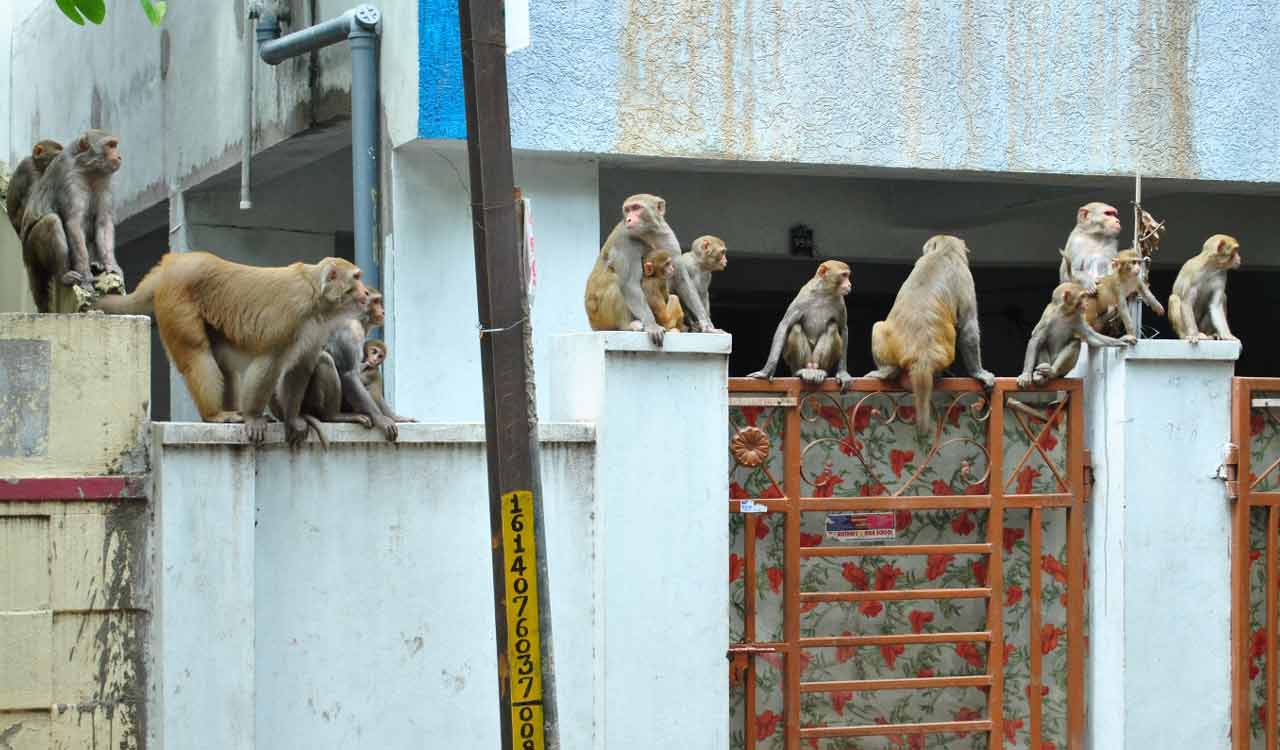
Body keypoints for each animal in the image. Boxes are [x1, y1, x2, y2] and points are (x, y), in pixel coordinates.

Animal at [20, 130, 123, 310]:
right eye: (110, 145)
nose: (119, 156)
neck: (88, 168)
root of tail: (27, 260)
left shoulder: (104, 179)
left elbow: (103, 222)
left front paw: (112, 266)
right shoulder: (69, 176)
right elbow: (73, 223)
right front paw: (86, 277)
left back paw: (96, 264)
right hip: (31, 249)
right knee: (52, 222)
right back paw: (64, 275)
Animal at [93, 252, 368, 445]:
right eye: (356, 277)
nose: (366, 292)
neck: (316, 295)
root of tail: (171, 264)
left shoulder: (317, 327)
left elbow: (300, 368)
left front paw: (293, 420)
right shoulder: (292, 315)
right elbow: (270, 361)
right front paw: (253, 417)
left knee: (223, 363)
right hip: (176, 299)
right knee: (197, 354)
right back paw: (214, 414)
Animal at [584, 194, 682, 345]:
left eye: (636, 208)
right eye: (627, 210)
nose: (629, 219)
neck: (647, 234)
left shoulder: (666, 235)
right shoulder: (626, 240)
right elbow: (629, 284)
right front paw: (651, 324)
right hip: (599, 316)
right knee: (616, 282)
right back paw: (628, 326)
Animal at [746, 260, 854, 390]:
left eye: (847, 276)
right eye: (844, 275)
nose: (849, 284)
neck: (824, 292)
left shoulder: (840, 302)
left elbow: (843, 329)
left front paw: (842, 373)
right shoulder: (803, 297)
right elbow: (785, 325)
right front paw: (766, 371)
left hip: (817, 361)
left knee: (832, 328)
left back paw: (820, 371)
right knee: (796, 327)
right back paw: (801, 372)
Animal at [864, 235, 995, 431]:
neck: (944, 252)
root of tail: (922, 357)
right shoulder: (965, 275)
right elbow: (968, 326)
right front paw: (978, 372)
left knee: (878, 327)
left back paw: (887, 371)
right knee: (877, 326)